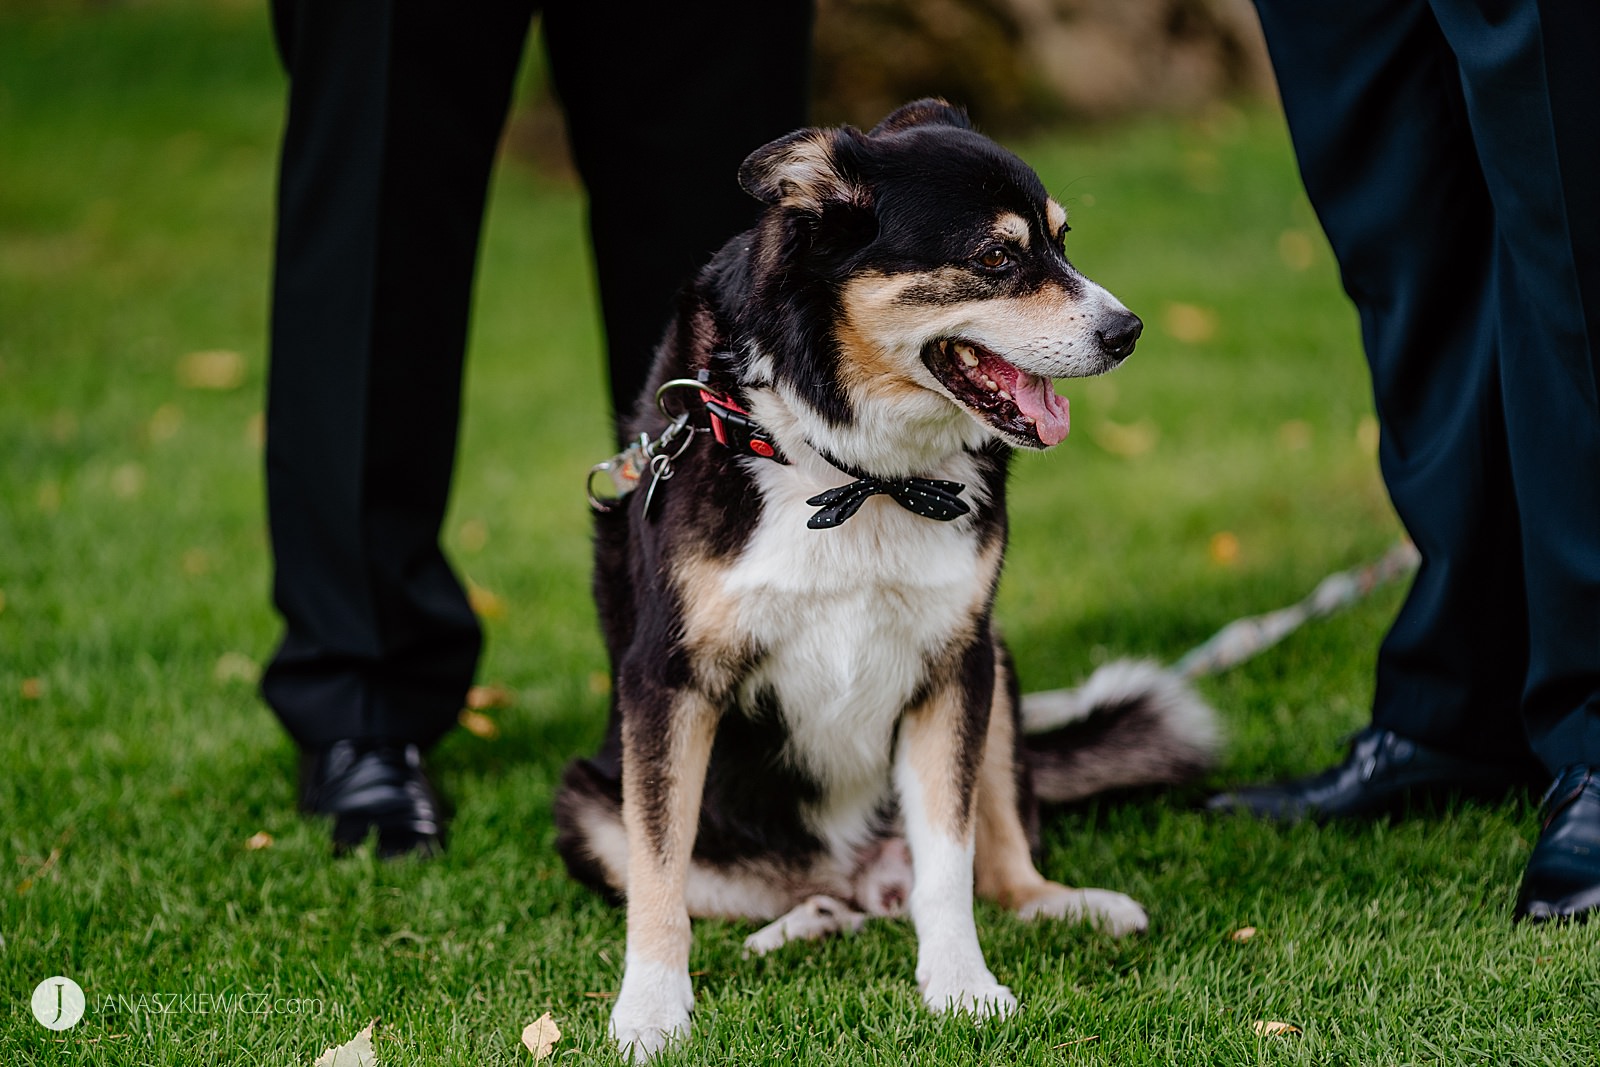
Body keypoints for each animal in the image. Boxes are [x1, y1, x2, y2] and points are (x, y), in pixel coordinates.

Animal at [550, 97, 1209, 1062]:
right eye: (996, 257)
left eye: (1062, 240)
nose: (1127, 333)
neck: (855, 470)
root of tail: (852, 871)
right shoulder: (667, 679)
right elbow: (660, 872)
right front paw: (650, 1009)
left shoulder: (952, 665)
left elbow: (951, 859)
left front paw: (962, 985)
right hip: (589, 806)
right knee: (745, 888)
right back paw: (805, 922)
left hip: (998, 669)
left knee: (994, 861)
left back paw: (1064, 904)